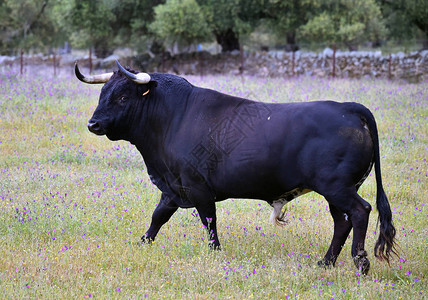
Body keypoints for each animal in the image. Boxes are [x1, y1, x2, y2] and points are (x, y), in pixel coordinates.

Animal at [75, 61, 396, 274]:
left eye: (123, 96)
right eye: (102, 93)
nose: (93, 124)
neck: (172, 117)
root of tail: (348, 106)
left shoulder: (197, 188)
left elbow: (209, 222)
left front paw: (215, 253)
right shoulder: (174, 187)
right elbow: (158, 217)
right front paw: (141, 244)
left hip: (337, 187)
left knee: (360, 211)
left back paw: (360, 263)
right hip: (334, 192)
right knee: (342, 222)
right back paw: (325, 262)